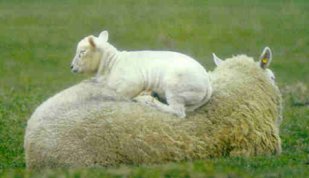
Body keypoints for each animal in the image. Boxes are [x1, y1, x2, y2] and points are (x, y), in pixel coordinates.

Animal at [70, 30, 212, 118]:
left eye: (82, 52)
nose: (71, 67)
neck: (111, 64)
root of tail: (208, 84)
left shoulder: (131, 83)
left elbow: (121, 95)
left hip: (175, 88)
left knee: (177, 112)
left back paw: (147, 100)